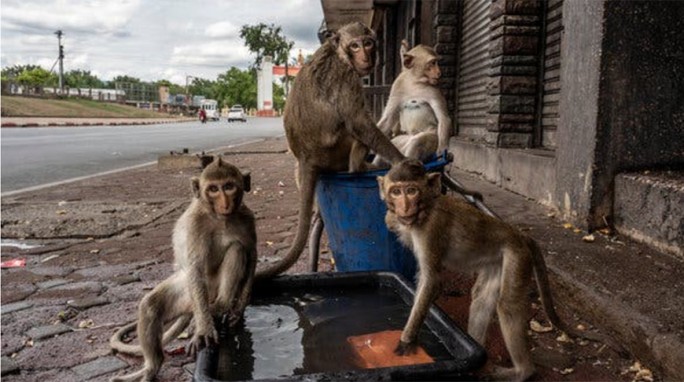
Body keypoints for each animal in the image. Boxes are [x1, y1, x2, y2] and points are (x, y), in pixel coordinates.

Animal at [109, 156, 260, 382]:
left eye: (229, 186)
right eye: (213, 189)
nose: (224, 203)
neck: (221, 219)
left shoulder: (247, 218)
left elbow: (251, 255)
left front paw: (239, 308)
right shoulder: (195, 224)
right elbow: (195, 268)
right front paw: (205, 330)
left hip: (207, 294)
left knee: (236, 249)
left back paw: (222, 304)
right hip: (190, 297)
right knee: (151, 305)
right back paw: (152, 368)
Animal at [256, 20, 406, 280]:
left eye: (368, 43)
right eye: (355, 45)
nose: (365, 56)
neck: (337, 52)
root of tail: (307, 158)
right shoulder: (347, 76)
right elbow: (359, 122)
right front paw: (403, 161)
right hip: (336, 152)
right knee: (355, 130)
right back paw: (360, 166)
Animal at [380, 159, 608, 382]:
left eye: (411, 190)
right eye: (396, 192)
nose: (404, 206)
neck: (425, 209)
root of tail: (518, 234)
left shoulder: (431, 229)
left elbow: (431, 280)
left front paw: (406, 341)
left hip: (517, 257)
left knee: (507, 305)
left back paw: (522, 371)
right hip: (497, 261)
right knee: (482, 296)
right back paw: (476, 354)